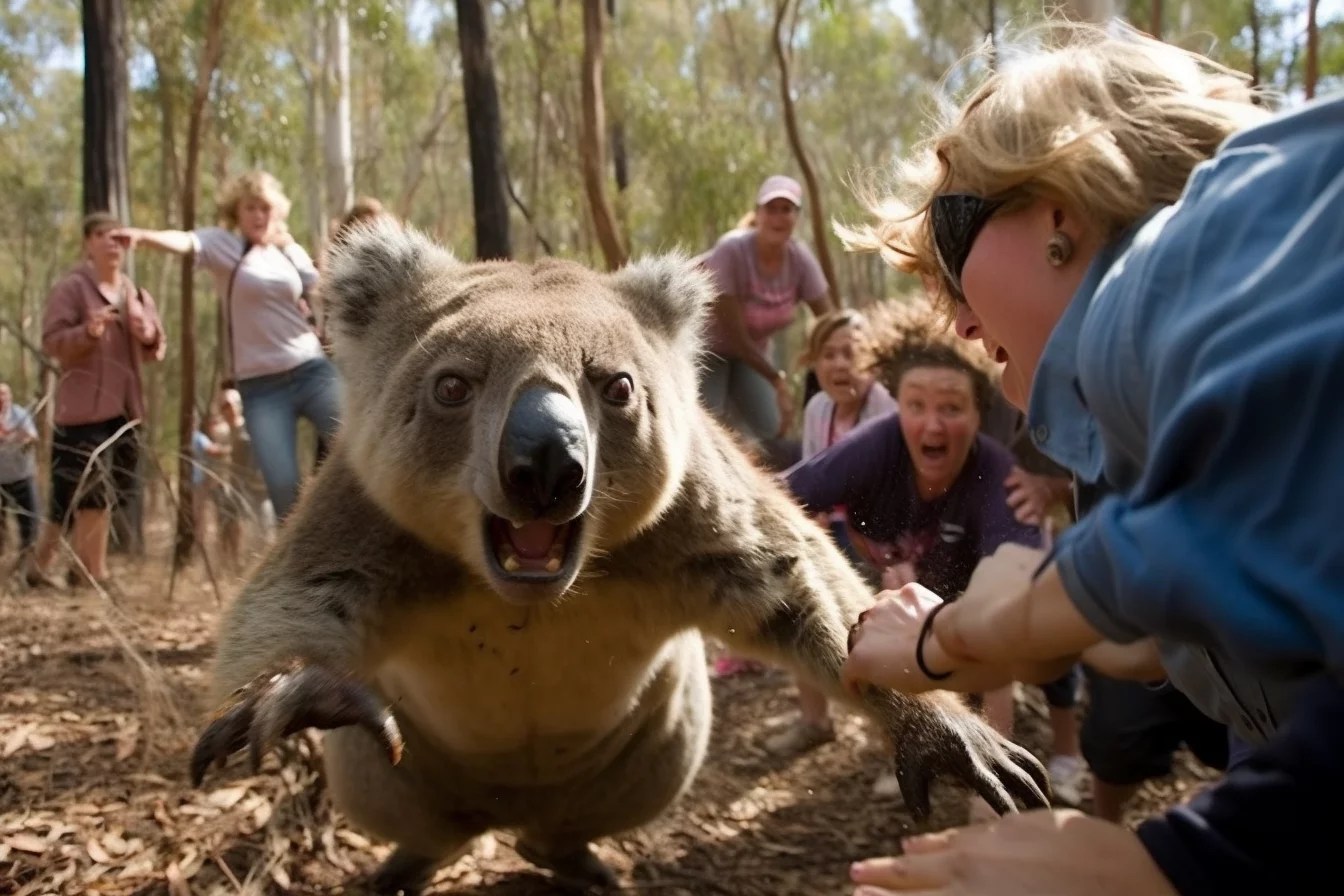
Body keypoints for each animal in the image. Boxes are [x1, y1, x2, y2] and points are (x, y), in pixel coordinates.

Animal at [189, 219, 1048, 894]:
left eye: (618, 388)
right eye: (453, 388)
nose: (545, 465)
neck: (528, 590)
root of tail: (508, 811)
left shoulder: (700, 520)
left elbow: (803, 589)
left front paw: (946, 734)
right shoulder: (362, 517)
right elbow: (294, 597)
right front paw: (291, 693)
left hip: (652, 760)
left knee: (572, 827)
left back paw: (578, 862)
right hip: (383, 778)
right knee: (424, 826)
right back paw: (404, 867)